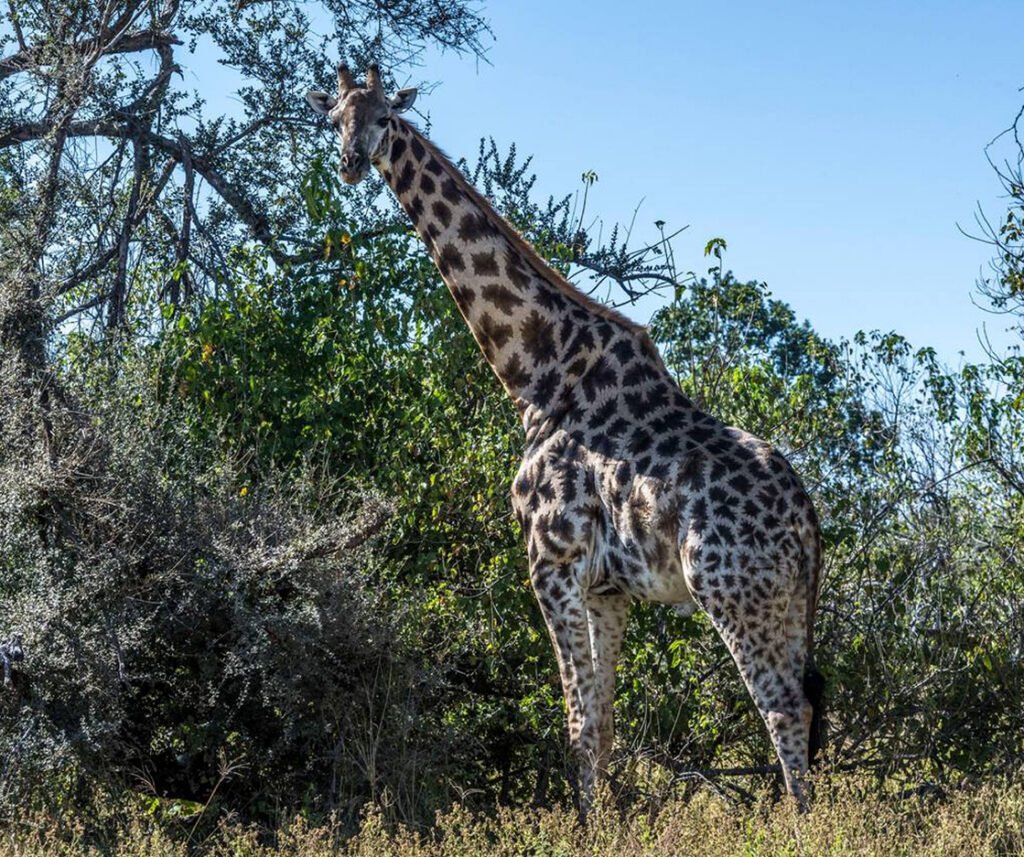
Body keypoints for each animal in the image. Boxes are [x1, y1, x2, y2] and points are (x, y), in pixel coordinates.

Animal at [306, 63, 825, 810]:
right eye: (335, 118)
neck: (535, 372)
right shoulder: (609, 586)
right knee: (803, 706)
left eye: (383, 118)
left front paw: (587, 823)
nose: (350, 163)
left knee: (782, 708)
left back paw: (801, 826)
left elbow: (577, 722)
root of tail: (808, 519)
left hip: (732, 588)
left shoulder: (549, 558)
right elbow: (602, 724)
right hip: (784, 600)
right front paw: (603, 820)